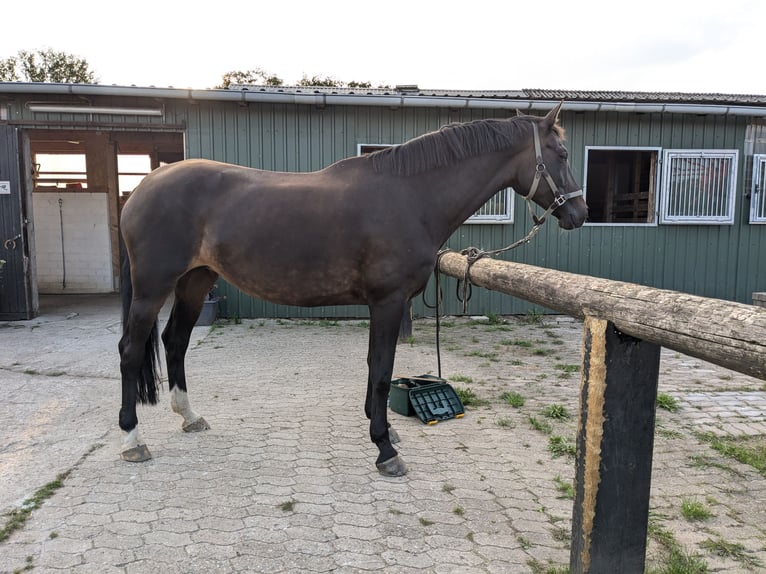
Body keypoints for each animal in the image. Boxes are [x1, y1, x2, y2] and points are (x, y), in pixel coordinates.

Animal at [118, 102, 588, 476]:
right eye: (562, 154)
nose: (580, 213)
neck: (411, 197)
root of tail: (143, 186)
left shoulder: (382, 306)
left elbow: (373, 366)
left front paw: (386, 432)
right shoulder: (388, 302)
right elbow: (381, 371)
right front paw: (384, 449)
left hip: (195, 282)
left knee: (175, 342)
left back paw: (189, 416)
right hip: (152, 288)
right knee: (131, 350)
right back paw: (132, 440)